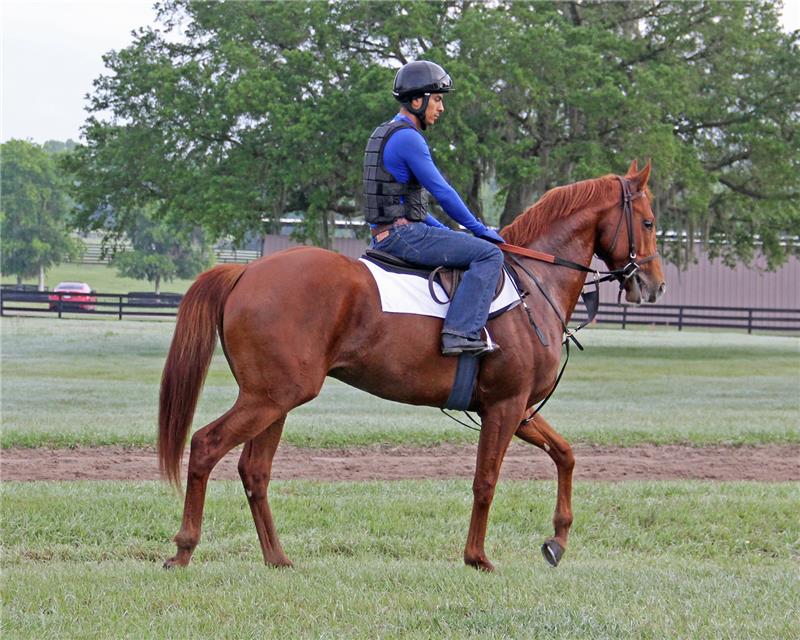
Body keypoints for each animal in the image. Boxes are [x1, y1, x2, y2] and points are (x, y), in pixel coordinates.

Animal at [158, 159, 665, 572]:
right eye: (648, 221)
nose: (654, 284)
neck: (532, 284)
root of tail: (246, 271)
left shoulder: (518, 409)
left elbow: (565, 454)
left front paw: (557, 540)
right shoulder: (505, 407)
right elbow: (486, 480)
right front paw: (477, 557)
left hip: (275, 401)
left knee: (255, 471)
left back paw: (277, 557)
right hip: (268, 399)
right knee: (205, 446)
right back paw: (184, 548)